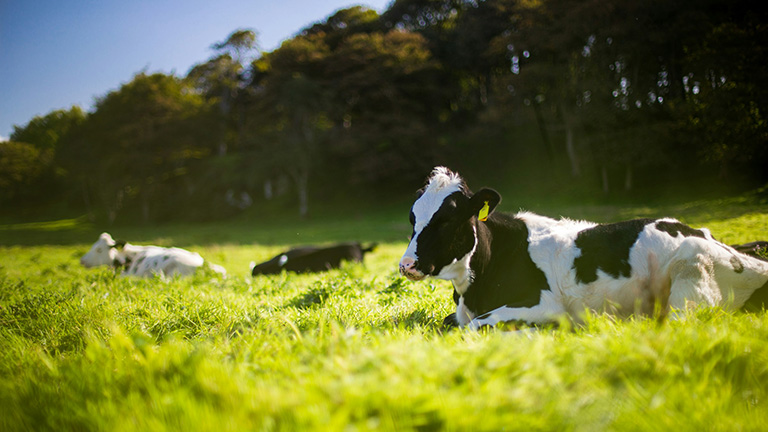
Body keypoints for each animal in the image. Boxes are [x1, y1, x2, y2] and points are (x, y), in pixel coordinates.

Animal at [400, 167, 768, 330]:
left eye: (447, 219)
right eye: (412, 217)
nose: (406, 264)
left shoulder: (543, 303)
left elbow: (476, 325)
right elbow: (452, 322)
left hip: (690, 279)